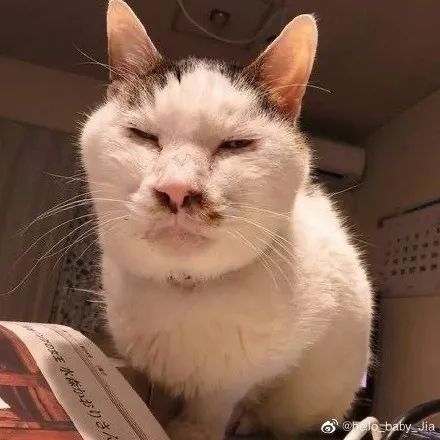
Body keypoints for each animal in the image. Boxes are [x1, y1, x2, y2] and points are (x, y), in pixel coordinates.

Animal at [80, 1, 373, 438]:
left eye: (236, 145)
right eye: (142, 135)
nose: (177, 189)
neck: (183, 292)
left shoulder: (247, 377)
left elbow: (216, 403)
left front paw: (191, 428)